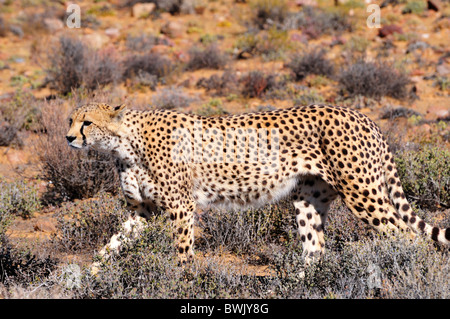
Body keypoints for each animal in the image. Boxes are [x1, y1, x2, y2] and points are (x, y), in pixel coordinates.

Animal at [66, 103, 450, 268]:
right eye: (71, 119)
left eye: (87, 122)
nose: (69, 137)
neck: (124, 144)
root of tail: (361, 115)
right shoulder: (142, 211)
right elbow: (112, 244)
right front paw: (92, 274)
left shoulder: (181, 206)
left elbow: (182, 251)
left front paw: (181, 280)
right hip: (308, 199)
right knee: (315, 248)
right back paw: (300, 285)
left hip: (363, 193)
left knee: (406, 237)